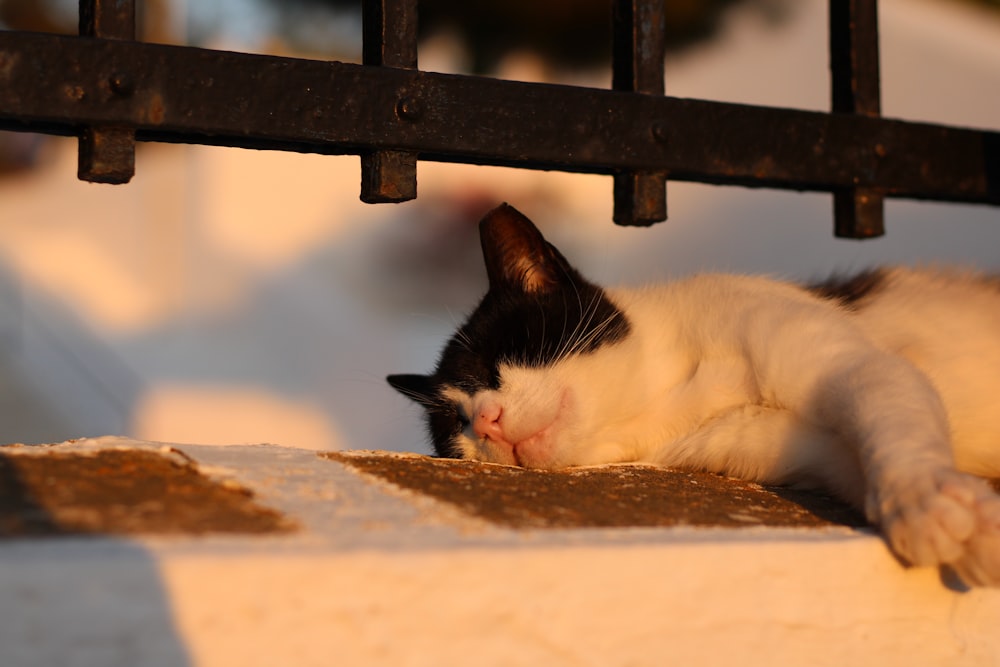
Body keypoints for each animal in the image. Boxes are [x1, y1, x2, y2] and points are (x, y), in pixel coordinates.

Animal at [388, 205, 1000, 588]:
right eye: (457, 428)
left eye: (494, 364)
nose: (486, 421)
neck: (671, 395)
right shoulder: (796, 450)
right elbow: (859, 466)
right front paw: (969, 529)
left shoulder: (855, 365)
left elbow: (894, 420)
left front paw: (926, 500)